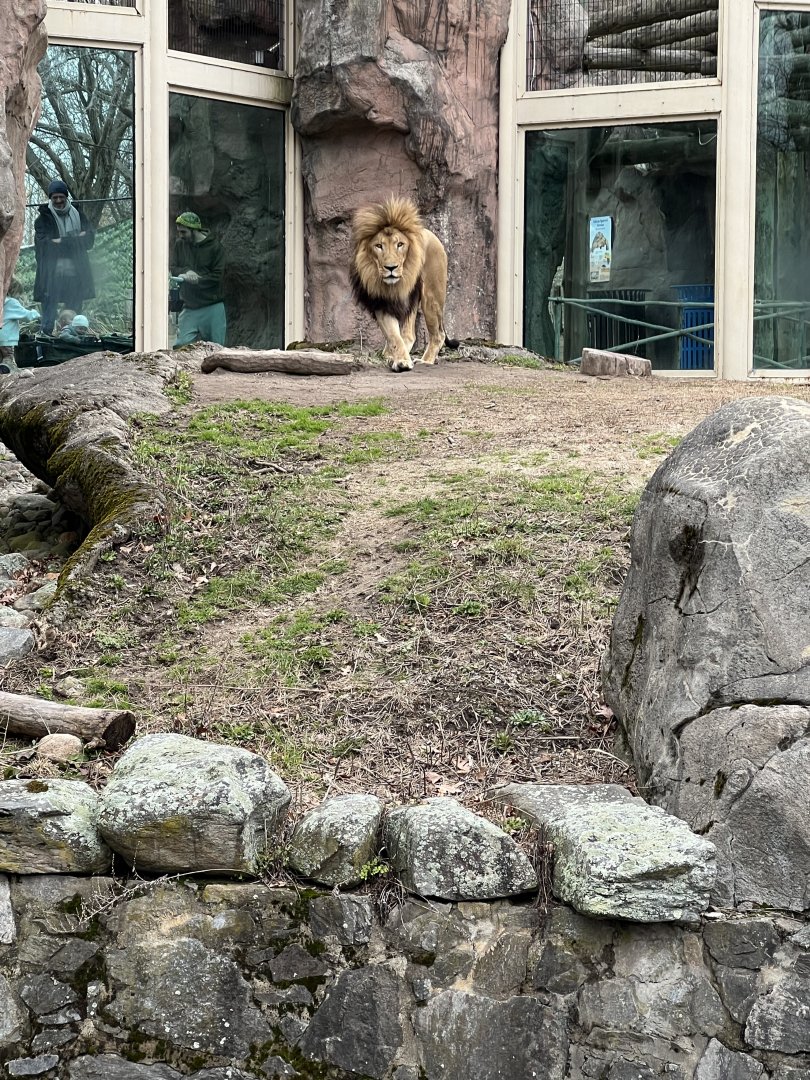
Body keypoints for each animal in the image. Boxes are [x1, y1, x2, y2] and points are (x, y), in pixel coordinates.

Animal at [350, 196, 456, 372]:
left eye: (400, 244)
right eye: (379, 246)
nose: (391, 268)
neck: (394, 286)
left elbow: (399, 336)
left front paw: (400, 361)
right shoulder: (382, 303)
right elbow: (394, 335)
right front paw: (401, 360)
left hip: (431, 297)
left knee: (438, 334)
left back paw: (425, 361)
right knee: (408, 334)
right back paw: (389, 354)